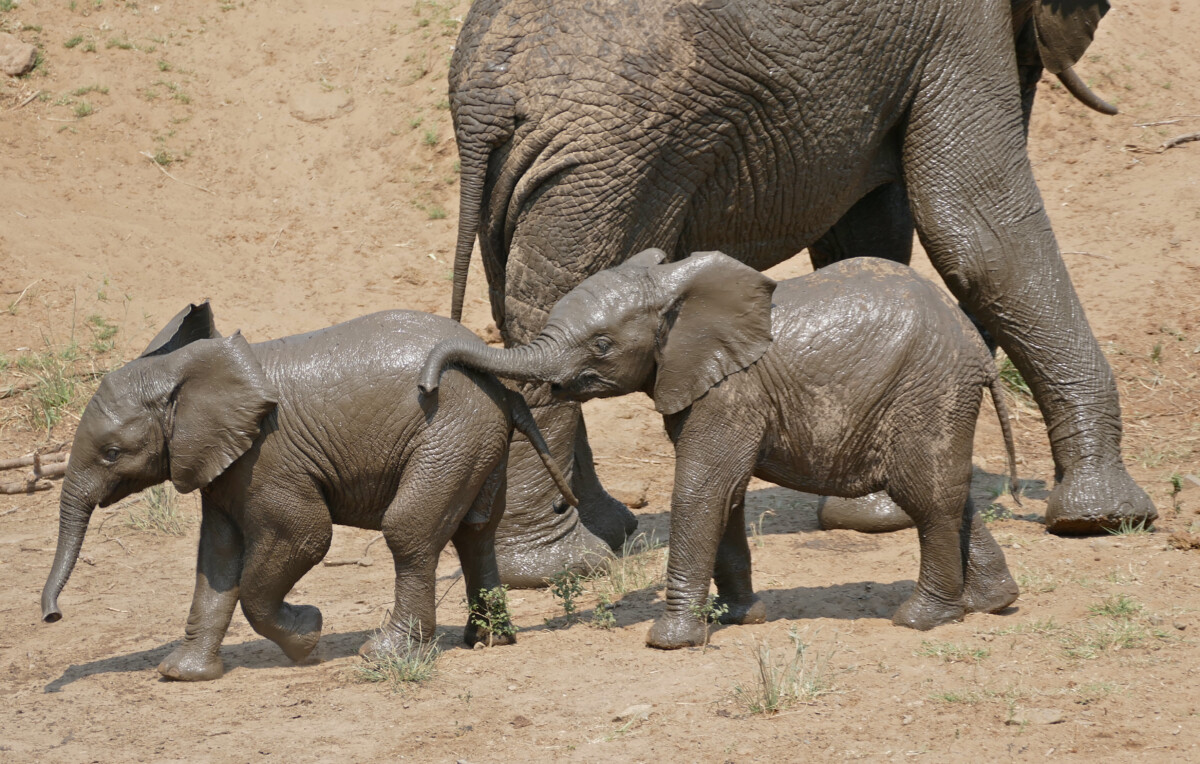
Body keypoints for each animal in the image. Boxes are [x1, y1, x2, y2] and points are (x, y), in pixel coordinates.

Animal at [42, 302, 576, 681]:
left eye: (111, 453)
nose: (52, 617)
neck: (184, 371)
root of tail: (502, 385)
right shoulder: (222, 464)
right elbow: (216, 559)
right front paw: (181, 675)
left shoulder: (268, 458)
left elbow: (303, 537)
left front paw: (307, 638)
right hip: (476, 440)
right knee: (475, 532)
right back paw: (486, 641)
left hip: (450, 432)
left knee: (409, 531)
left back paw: (383, 653)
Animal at [422, 251, 1022, 647]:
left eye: (602, 345)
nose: (428, 388)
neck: (673, 287)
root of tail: (976, 348)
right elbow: (726, 493)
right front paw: (739, 617)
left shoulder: (730, 390)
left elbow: (701, 488)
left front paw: (671, 640)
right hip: (934, 398)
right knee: (949, 491)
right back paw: (993, 603)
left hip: (926, 389)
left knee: (926, 496)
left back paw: (922, 619)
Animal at [448, 0, 1152, 582]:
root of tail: (484, 100)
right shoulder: (957, 28)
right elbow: (980, 224)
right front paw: (1105, 517)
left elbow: (870, 230)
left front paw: (874, 510)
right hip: (610, 165)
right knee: (551, 296)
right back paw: (558, 568)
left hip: (542, 178)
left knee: (528, 306)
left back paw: (604, 534)